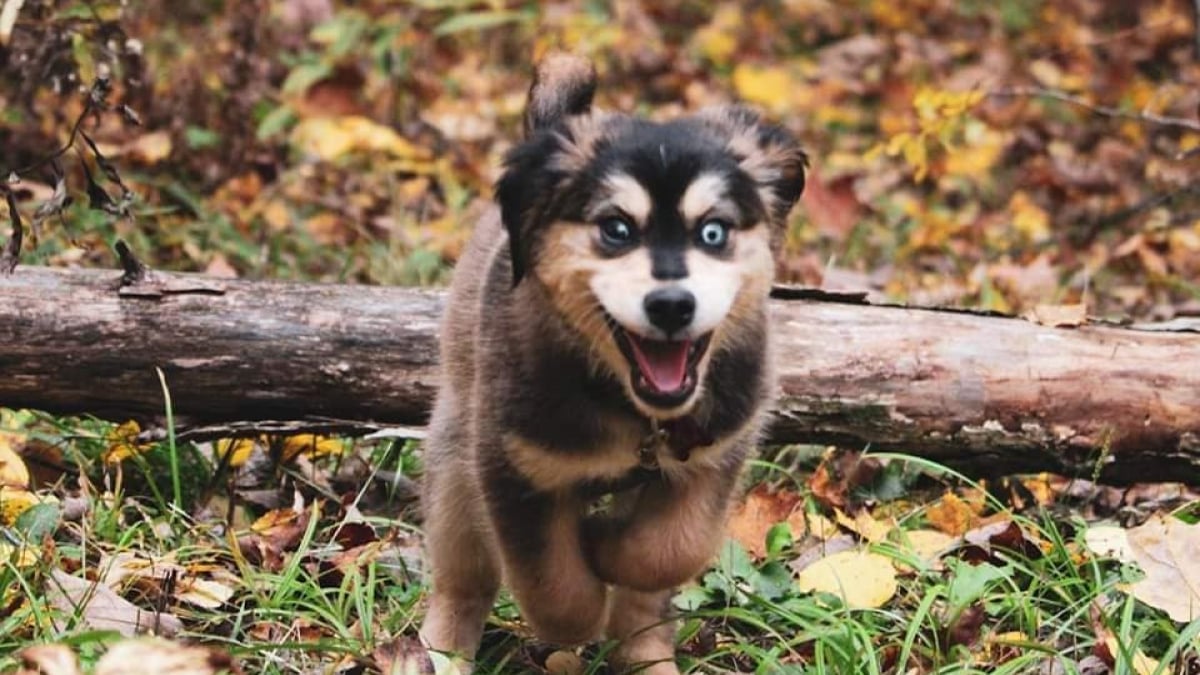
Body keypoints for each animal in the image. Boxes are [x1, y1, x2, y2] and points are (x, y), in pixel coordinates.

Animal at [422, 53, 806, 672]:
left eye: (714, 232)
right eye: (616, 230)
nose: (672, 305)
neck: (635, 414)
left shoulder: (716, 455)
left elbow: (667, 551)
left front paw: (604, 543)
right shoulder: (512, 467)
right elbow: (556, 593)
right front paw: (584, 574)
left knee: (645, 607)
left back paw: (648, 656)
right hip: (457, 451)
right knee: (462, 577)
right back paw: (438, 652)